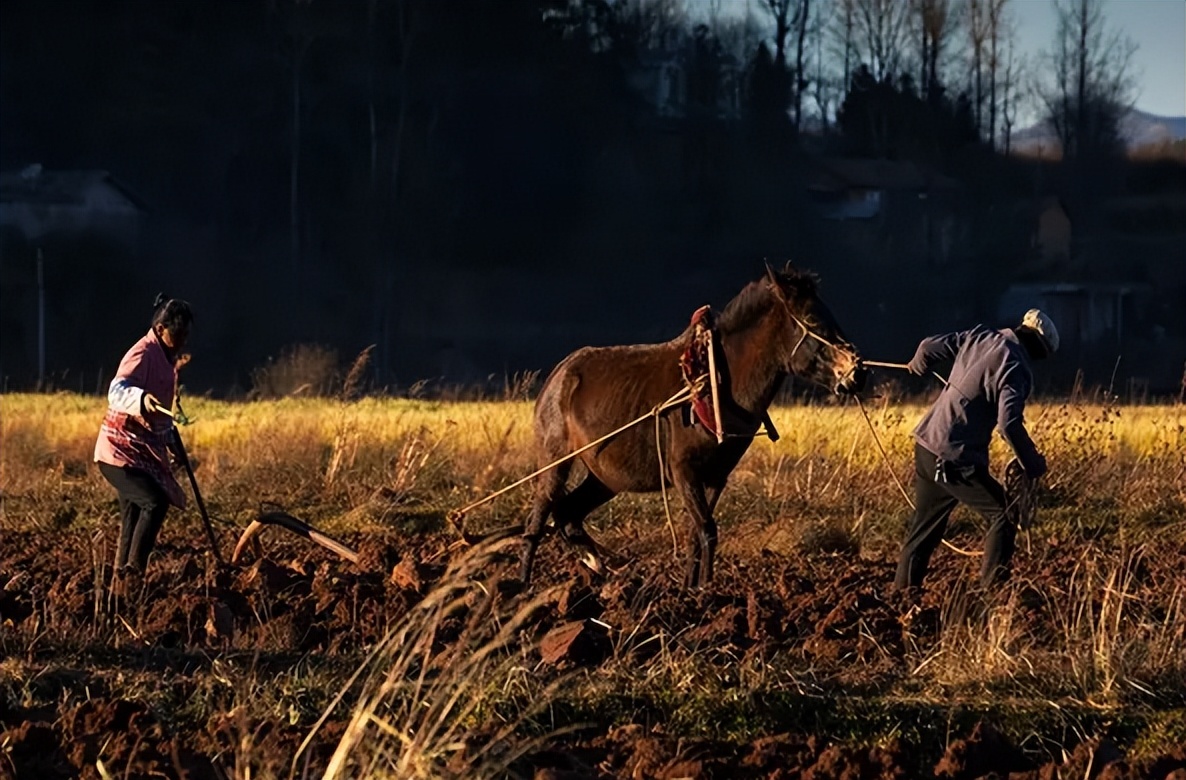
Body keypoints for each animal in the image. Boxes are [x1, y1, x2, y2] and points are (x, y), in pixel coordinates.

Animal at [519, 260, 863, 583]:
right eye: (813, 320)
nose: (855, 372)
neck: (713, 382)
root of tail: (558, 374)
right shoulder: (684, 471)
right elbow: (707, 530)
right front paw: (705, 592)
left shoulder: (716, 477)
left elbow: (696, 536)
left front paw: (693, 587)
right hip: (555, 461)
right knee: (537, 520)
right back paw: (523, 584)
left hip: (605, 477)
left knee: (568, 513)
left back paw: (595, 564)